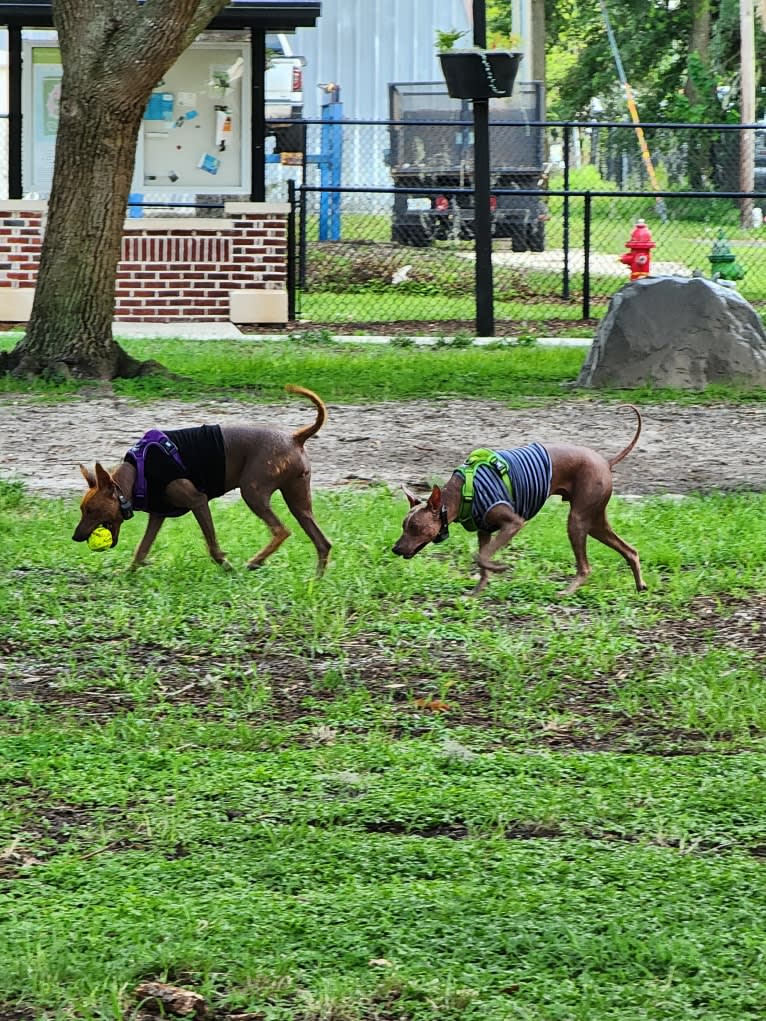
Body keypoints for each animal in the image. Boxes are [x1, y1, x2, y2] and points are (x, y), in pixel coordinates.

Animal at [72, 383, 332, 575]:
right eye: (82, 510)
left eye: (91, 511)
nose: (75, 537)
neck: (137, 474)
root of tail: (295, 438)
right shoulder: (158, 515)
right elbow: (142, 549)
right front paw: (128, 573)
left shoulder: (198, 501)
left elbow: (213, 545)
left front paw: (227, 567)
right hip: (299, 502)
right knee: (323, 542)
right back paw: (316, 579)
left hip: (253, 492)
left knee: (281, 530)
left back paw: (256, 561)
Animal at [392, 406, 649, 596]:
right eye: (403, 526)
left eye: (415, 528)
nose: (395, 548)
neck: (462, 491)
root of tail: (606, 462)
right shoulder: (484, 530)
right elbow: (482, 561)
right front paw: (476, 592)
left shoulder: (513, 523)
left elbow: (481, 557)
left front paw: (499, 567)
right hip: (594, 521)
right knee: (630, 550)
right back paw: (640, 585)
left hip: (577, 519)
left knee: (585, 566)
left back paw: (567, 591)